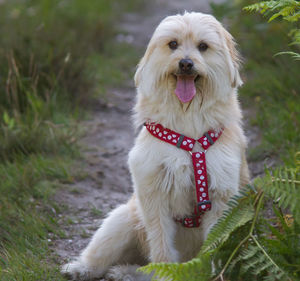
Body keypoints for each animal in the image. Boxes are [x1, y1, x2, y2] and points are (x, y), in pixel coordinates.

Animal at [62, 11, 250, 280]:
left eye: (203, 47)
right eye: (173, 44)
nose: (185, 63)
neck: (187, 123)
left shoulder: (220, 198)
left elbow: (213, 247)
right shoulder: (154, 193)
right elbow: (161, 247)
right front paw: (166, 273)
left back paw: (124, 272)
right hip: (121, 220)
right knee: (106, 257)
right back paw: (84, 268)